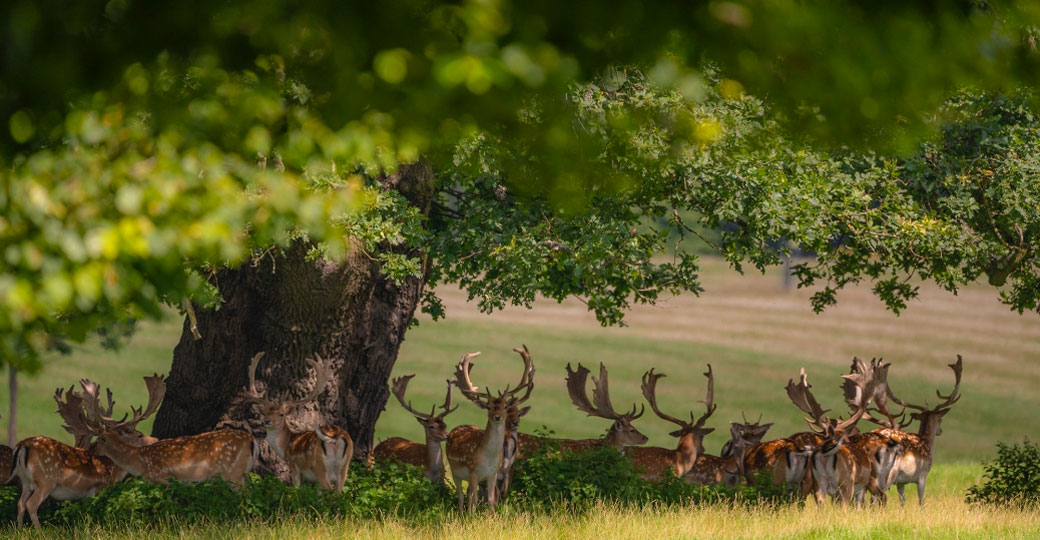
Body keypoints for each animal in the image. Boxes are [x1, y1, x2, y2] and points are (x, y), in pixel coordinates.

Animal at [11, 376, 162, 528]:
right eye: (139, 435)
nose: (156, 439)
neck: (113, 470)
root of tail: (23, 445)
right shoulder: (100, 487)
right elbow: (96, 510)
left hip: (25, 480)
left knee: (20, 503)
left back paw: (20, 529)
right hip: (45, 480)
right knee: (31, 504)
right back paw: (39, 530)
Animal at [242, 353, 353, 493]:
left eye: (281, 414)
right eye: (265, 413)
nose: (267, 421)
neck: (286, 446)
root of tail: (336, 437)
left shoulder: (294, 467)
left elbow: (296, 489)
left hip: (320, 467)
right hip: (345, 466)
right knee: (339, 491)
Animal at [443, 349, 532, 513]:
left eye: (505, 406)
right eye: (488, 407)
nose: (497, 416)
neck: (488, 458)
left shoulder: (492, 474)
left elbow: (491, 499)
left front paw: (491, 517)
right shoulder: (473, 472)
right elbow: (474, 499)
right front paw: (471, 517)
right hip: (454, 470)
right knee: (461, 495)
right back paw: (461, 514)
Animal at [865, 357, 960, 505]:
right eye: (940, 419)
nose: (940, 431)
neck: (927, 443)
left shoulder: (901, 482)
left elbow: (902, 501)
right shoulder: (922, 476)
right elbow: (921, 501)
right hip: (888, 473)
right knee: (876, 497)